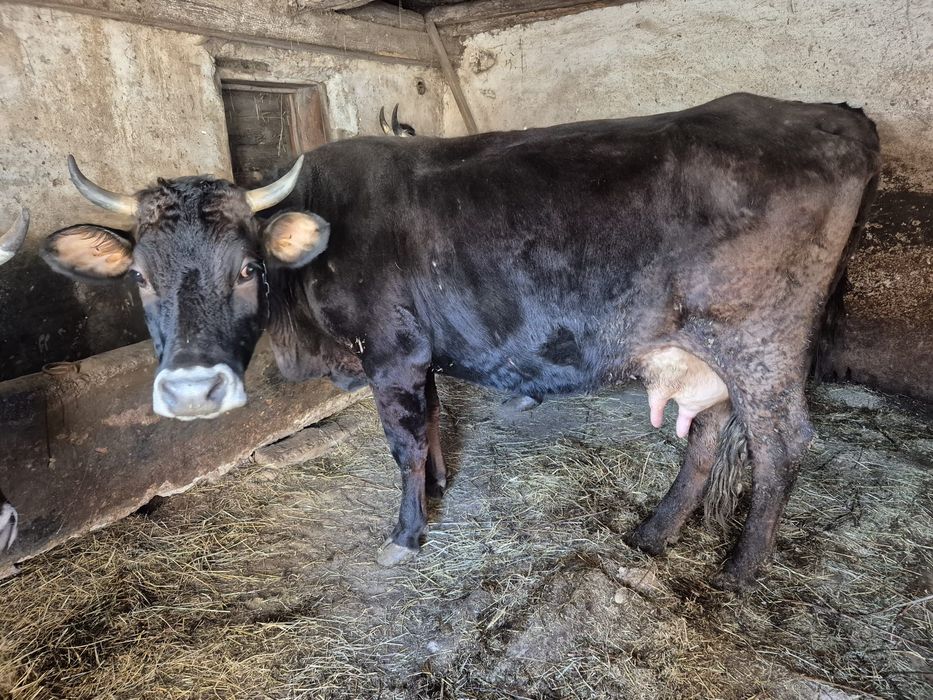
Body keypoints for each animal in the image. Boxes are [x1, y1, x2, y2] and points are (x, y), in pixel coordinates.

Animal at [40, 93, 880, 590]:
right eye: (140, 278)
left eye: (248, 267)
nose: (193, 391)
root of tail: (826, 113)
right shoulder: (421, 353)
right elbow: (436, 420)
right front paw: (441, 488)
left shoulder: (392, 353)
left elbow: (404, 443)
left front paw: (407, 532)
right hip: (700, 347)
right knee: (706, 430)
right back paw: (653, 531)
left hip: (760, 339)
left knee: (781, 442)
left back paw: (739, 570)